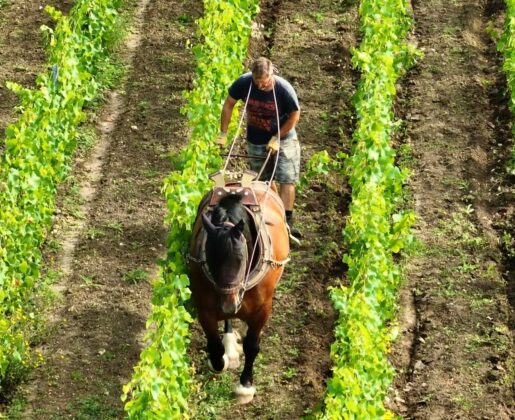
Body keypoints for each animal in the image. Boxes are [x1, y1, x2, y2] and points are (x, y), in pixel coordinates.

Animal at [188, 180, 290, 404]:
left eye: (242, 258)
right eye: (209, 255)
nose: (228, 304)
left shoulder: (262, 309)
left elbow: (252, 346)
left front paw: (245, 386)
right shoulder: (205, 307)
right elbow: (214, 345)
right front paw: (221, 360)